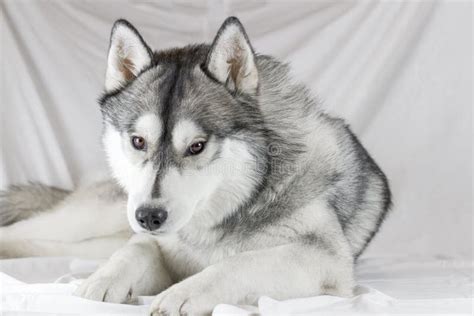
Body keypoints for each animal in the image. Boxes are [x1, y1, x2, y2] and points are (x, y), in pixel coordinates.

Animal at [0, 17, 390, 316]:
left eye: (197, 146)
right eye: (138, 141)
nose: (149, 217)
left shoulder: (325, 259)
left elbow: (239, 263)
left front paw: (183, 293)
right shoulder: (158, 244)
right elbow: (136, 249)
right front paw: (102, 281)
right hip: (98, 215)